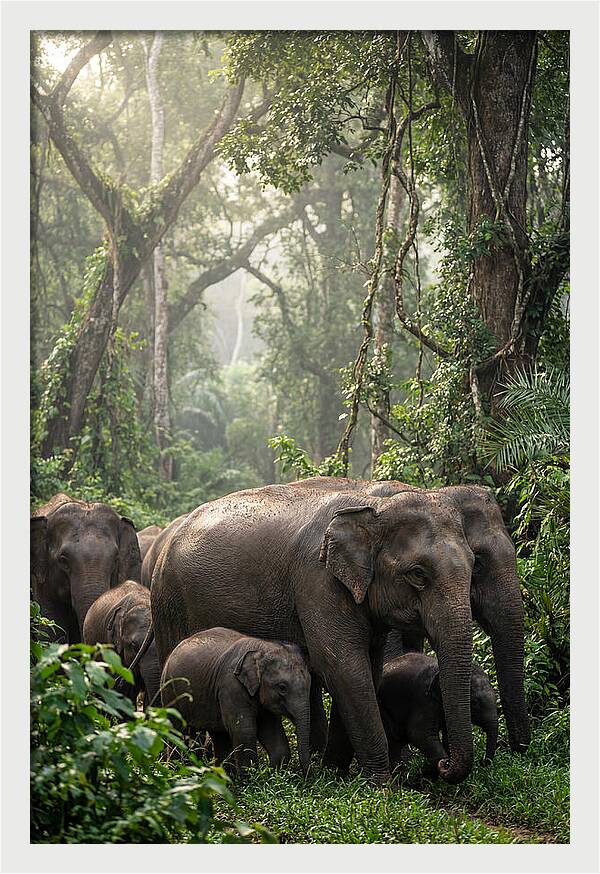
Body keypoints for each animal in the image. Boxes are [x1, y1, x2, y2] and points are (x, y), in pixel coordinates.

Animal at [160, 627, 311, 774]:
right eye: (282, 687)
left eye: (309, 683)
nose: (306, 775)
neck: (262, 647)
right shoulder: (231, 687)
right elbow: (244, 732)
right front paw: (251, 779)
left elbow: (273, 735)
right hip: (170, 692)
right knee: (177, 731)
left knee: (219, 736)